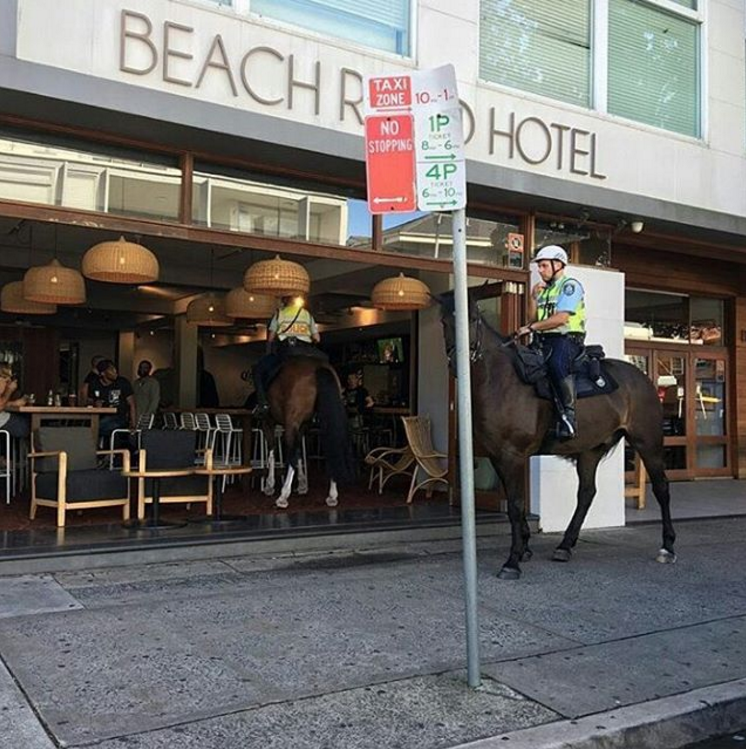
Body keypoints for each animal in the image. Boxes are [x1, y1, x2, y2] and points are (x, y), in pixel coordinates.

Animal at [262, 354, 354, 506]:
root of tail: (318, 367)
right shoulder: (302, 426)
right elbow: (299, 452)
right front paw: (302, 483)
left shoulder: (269, 423)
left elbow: (272, 452)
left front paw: (269, 485)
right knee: (332, 448)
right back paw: (332, 495)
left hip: (290, 424)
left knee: (292, 455)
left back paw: (283, 495)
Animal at [436, 290, 676, 580]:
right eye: (444, 322)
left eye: (472, 319)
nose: (458, 362)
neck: (500, 381)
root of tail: (643, 378)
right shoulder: (497, 456)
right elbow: (515, 505)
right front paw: (524, 548)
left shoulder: (512, 455)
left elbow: (516, 504)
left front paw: (512, 561)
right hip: (590, 450)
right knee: (586, 493)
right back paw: (565, 545)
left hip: (647, 442)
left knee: (662, 488)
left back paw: (667, 547)